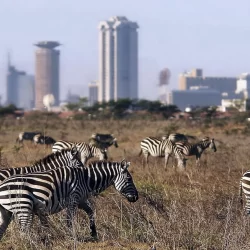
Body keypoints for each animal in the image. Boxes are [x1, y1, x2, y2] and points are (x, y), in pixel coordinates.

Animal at [0, 160, 139, 240]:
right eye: (129, 179)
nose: (136, 197)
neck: (86, 179)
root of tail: (2, 185)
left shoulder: (80, 199)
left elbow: (90, 212)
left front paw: (93, 232)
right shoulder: (73, 198)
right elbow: (69, 220)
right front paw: (71, 236)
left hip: (6, 211)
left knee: (3, 228)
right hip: (23, 205)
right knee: (23, 230)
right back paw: (29, 244)